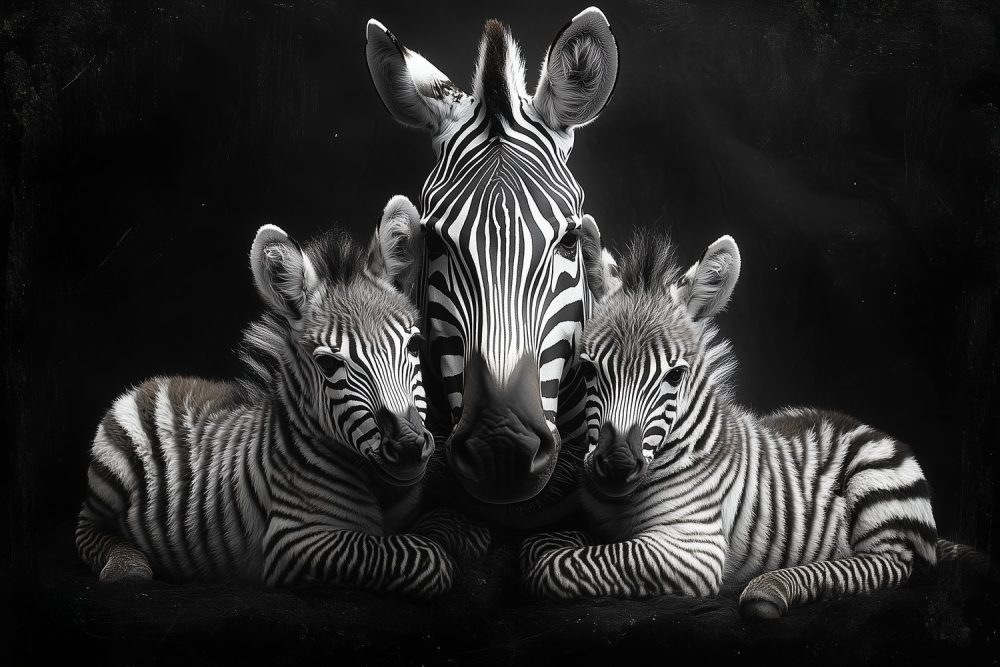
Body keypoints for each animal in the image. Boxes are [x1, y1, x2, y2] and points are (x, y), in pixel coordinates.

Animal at [75, 198, 488, 597]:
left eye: (415, 346)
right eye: (328, 364)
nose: (407, 447)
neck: (379, 488)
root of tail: (148, 384)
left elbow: (455, 525)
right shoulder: (293, 544)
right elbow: (426, 558)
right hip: (107, 485)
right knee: (87, 530)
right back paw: (127, 569)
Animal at [521, 228, 979, 618]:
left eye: (675, 376)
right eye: (588, 369)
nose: (615, 465)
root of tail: (868, 427)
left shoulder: (693, 549)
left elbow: (557, 566)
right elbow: (545, 546)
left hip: (876, 495)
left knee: (885, 566)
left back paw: (773, 587)